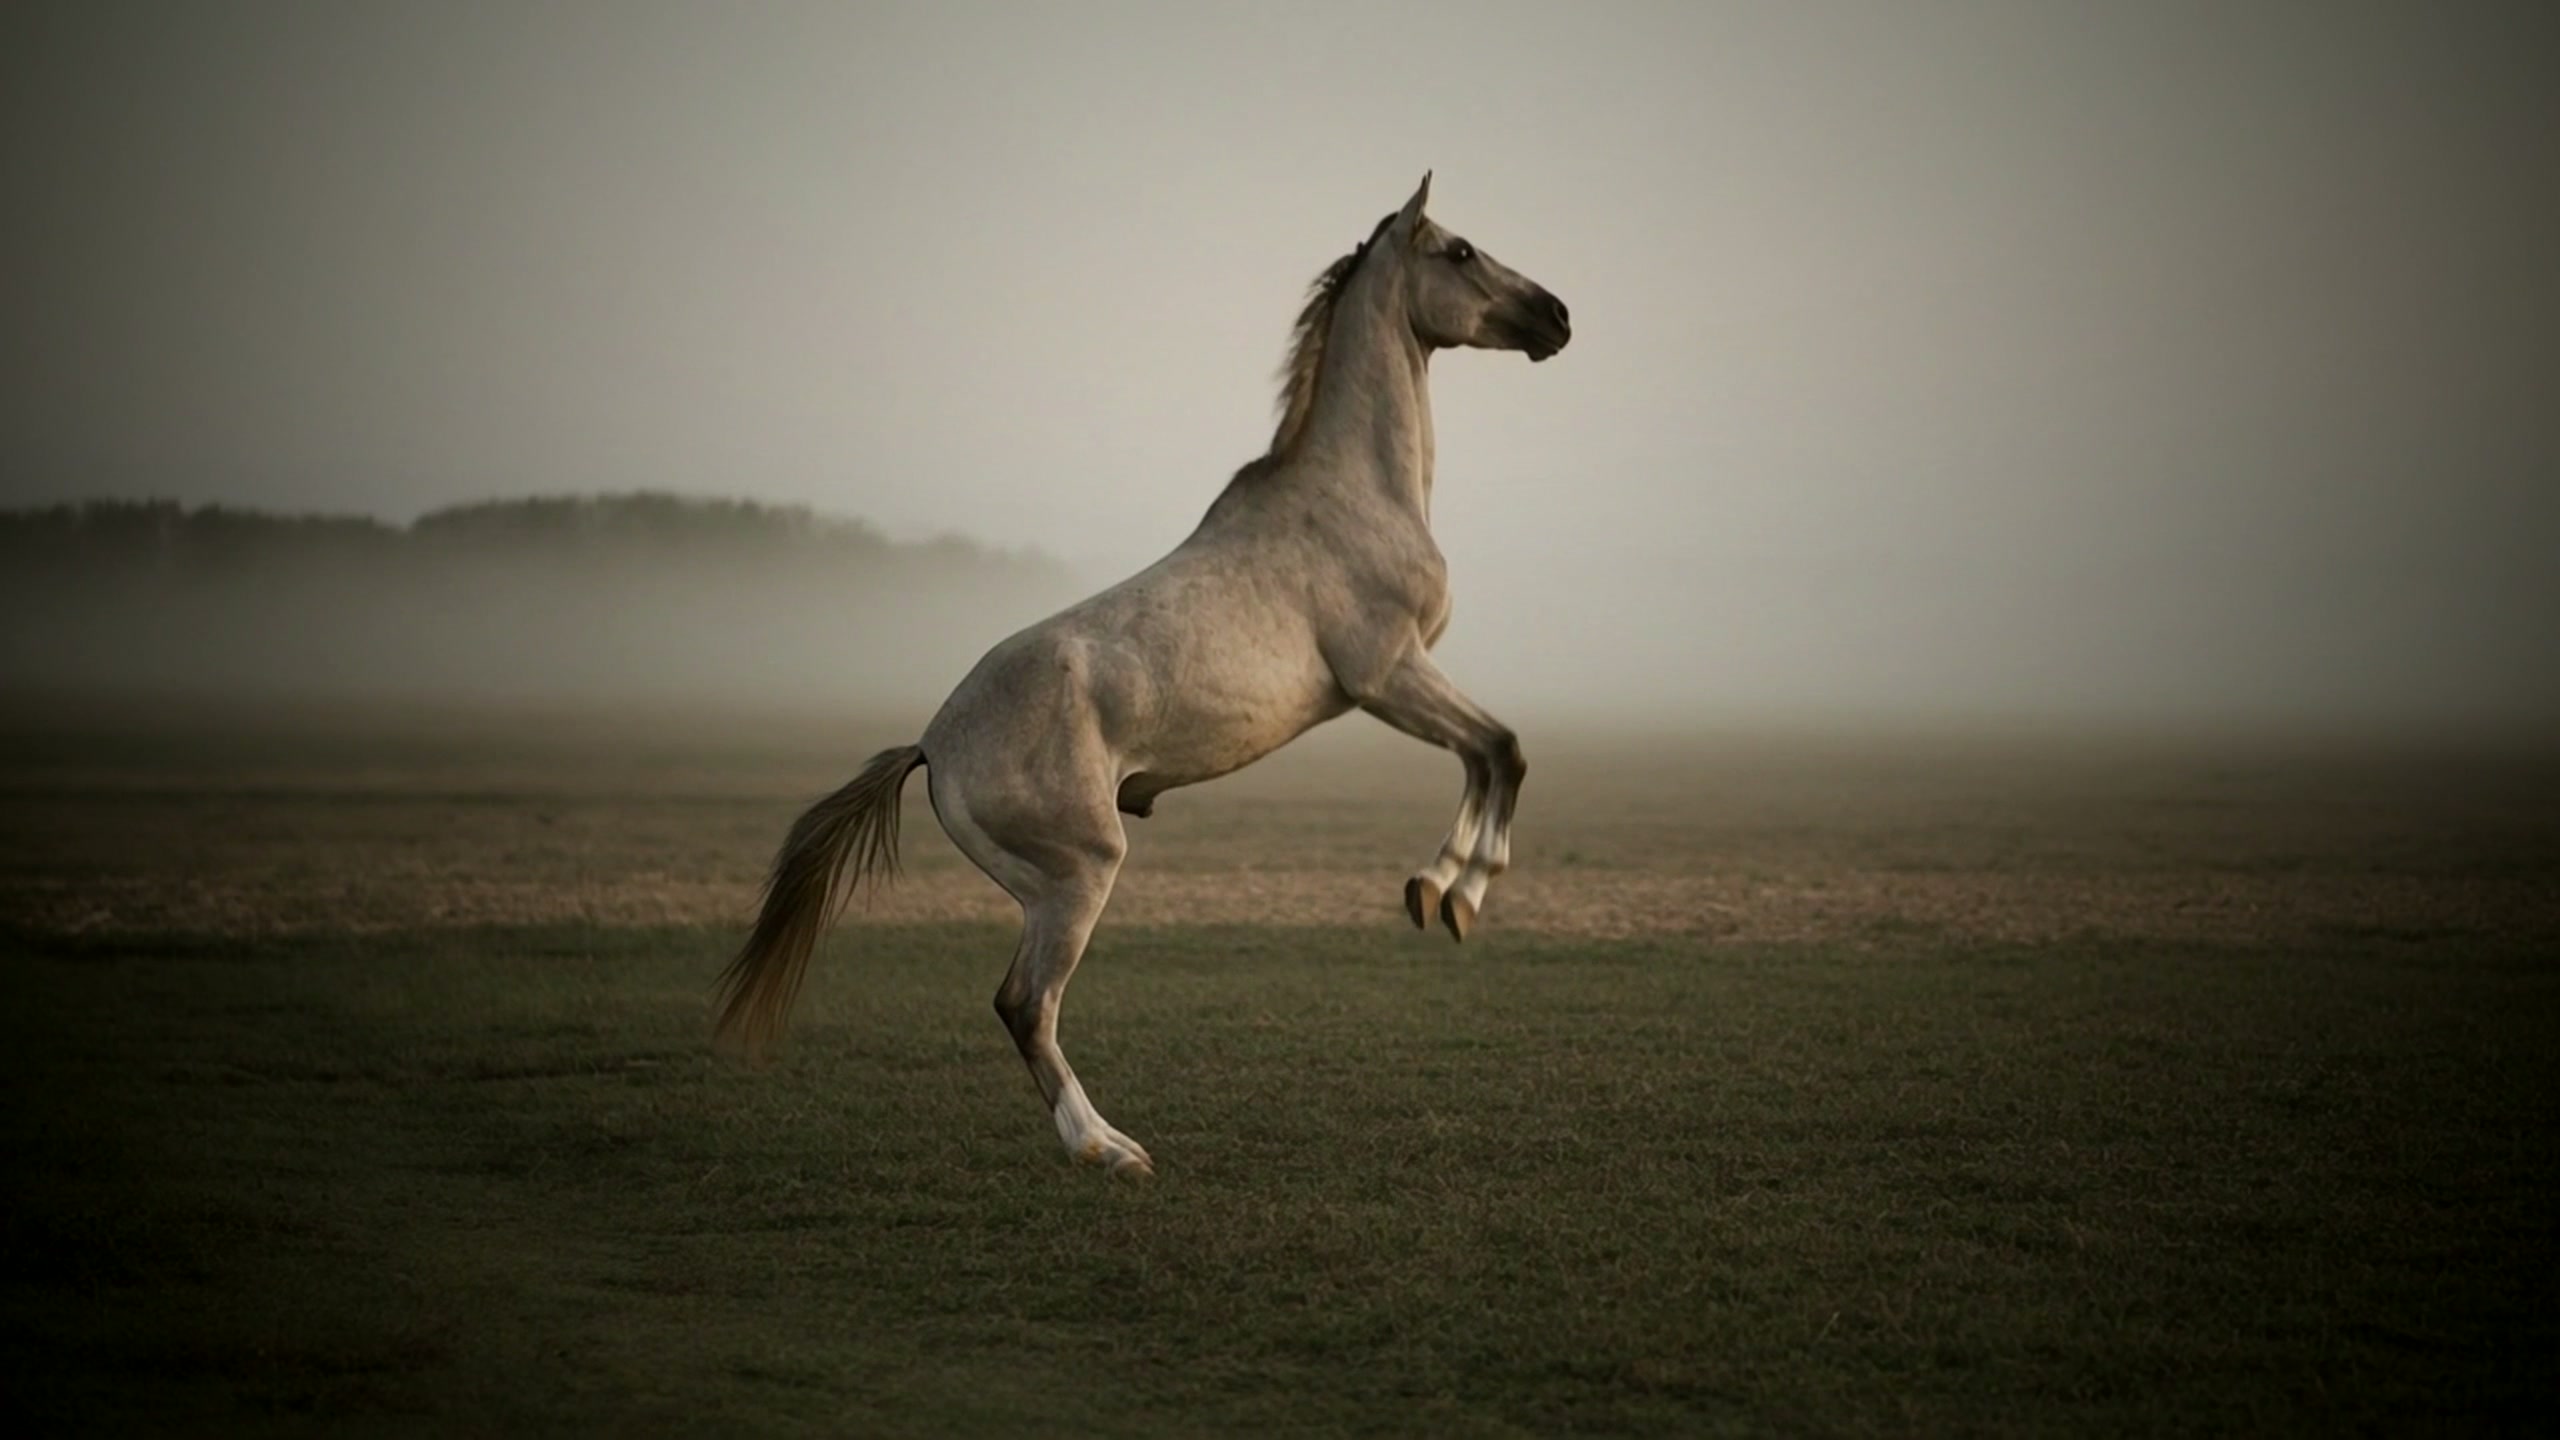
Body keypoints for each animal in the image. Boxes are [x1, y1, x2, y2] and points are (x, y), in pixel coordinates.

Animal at [715, 174, 1571, 1176]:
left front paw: (1442, 895)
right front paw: (1451, 893)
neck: (1352, 495)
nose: (1557, 316)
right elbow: (1502, 749)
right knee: (1025, 1004)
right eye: (1461, 251)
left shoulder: (1402, 678)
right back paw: (1109, 1150)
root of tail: (931, 743)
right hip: (1079, 875)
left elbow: (1489, 753)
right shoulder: (1388, 673)